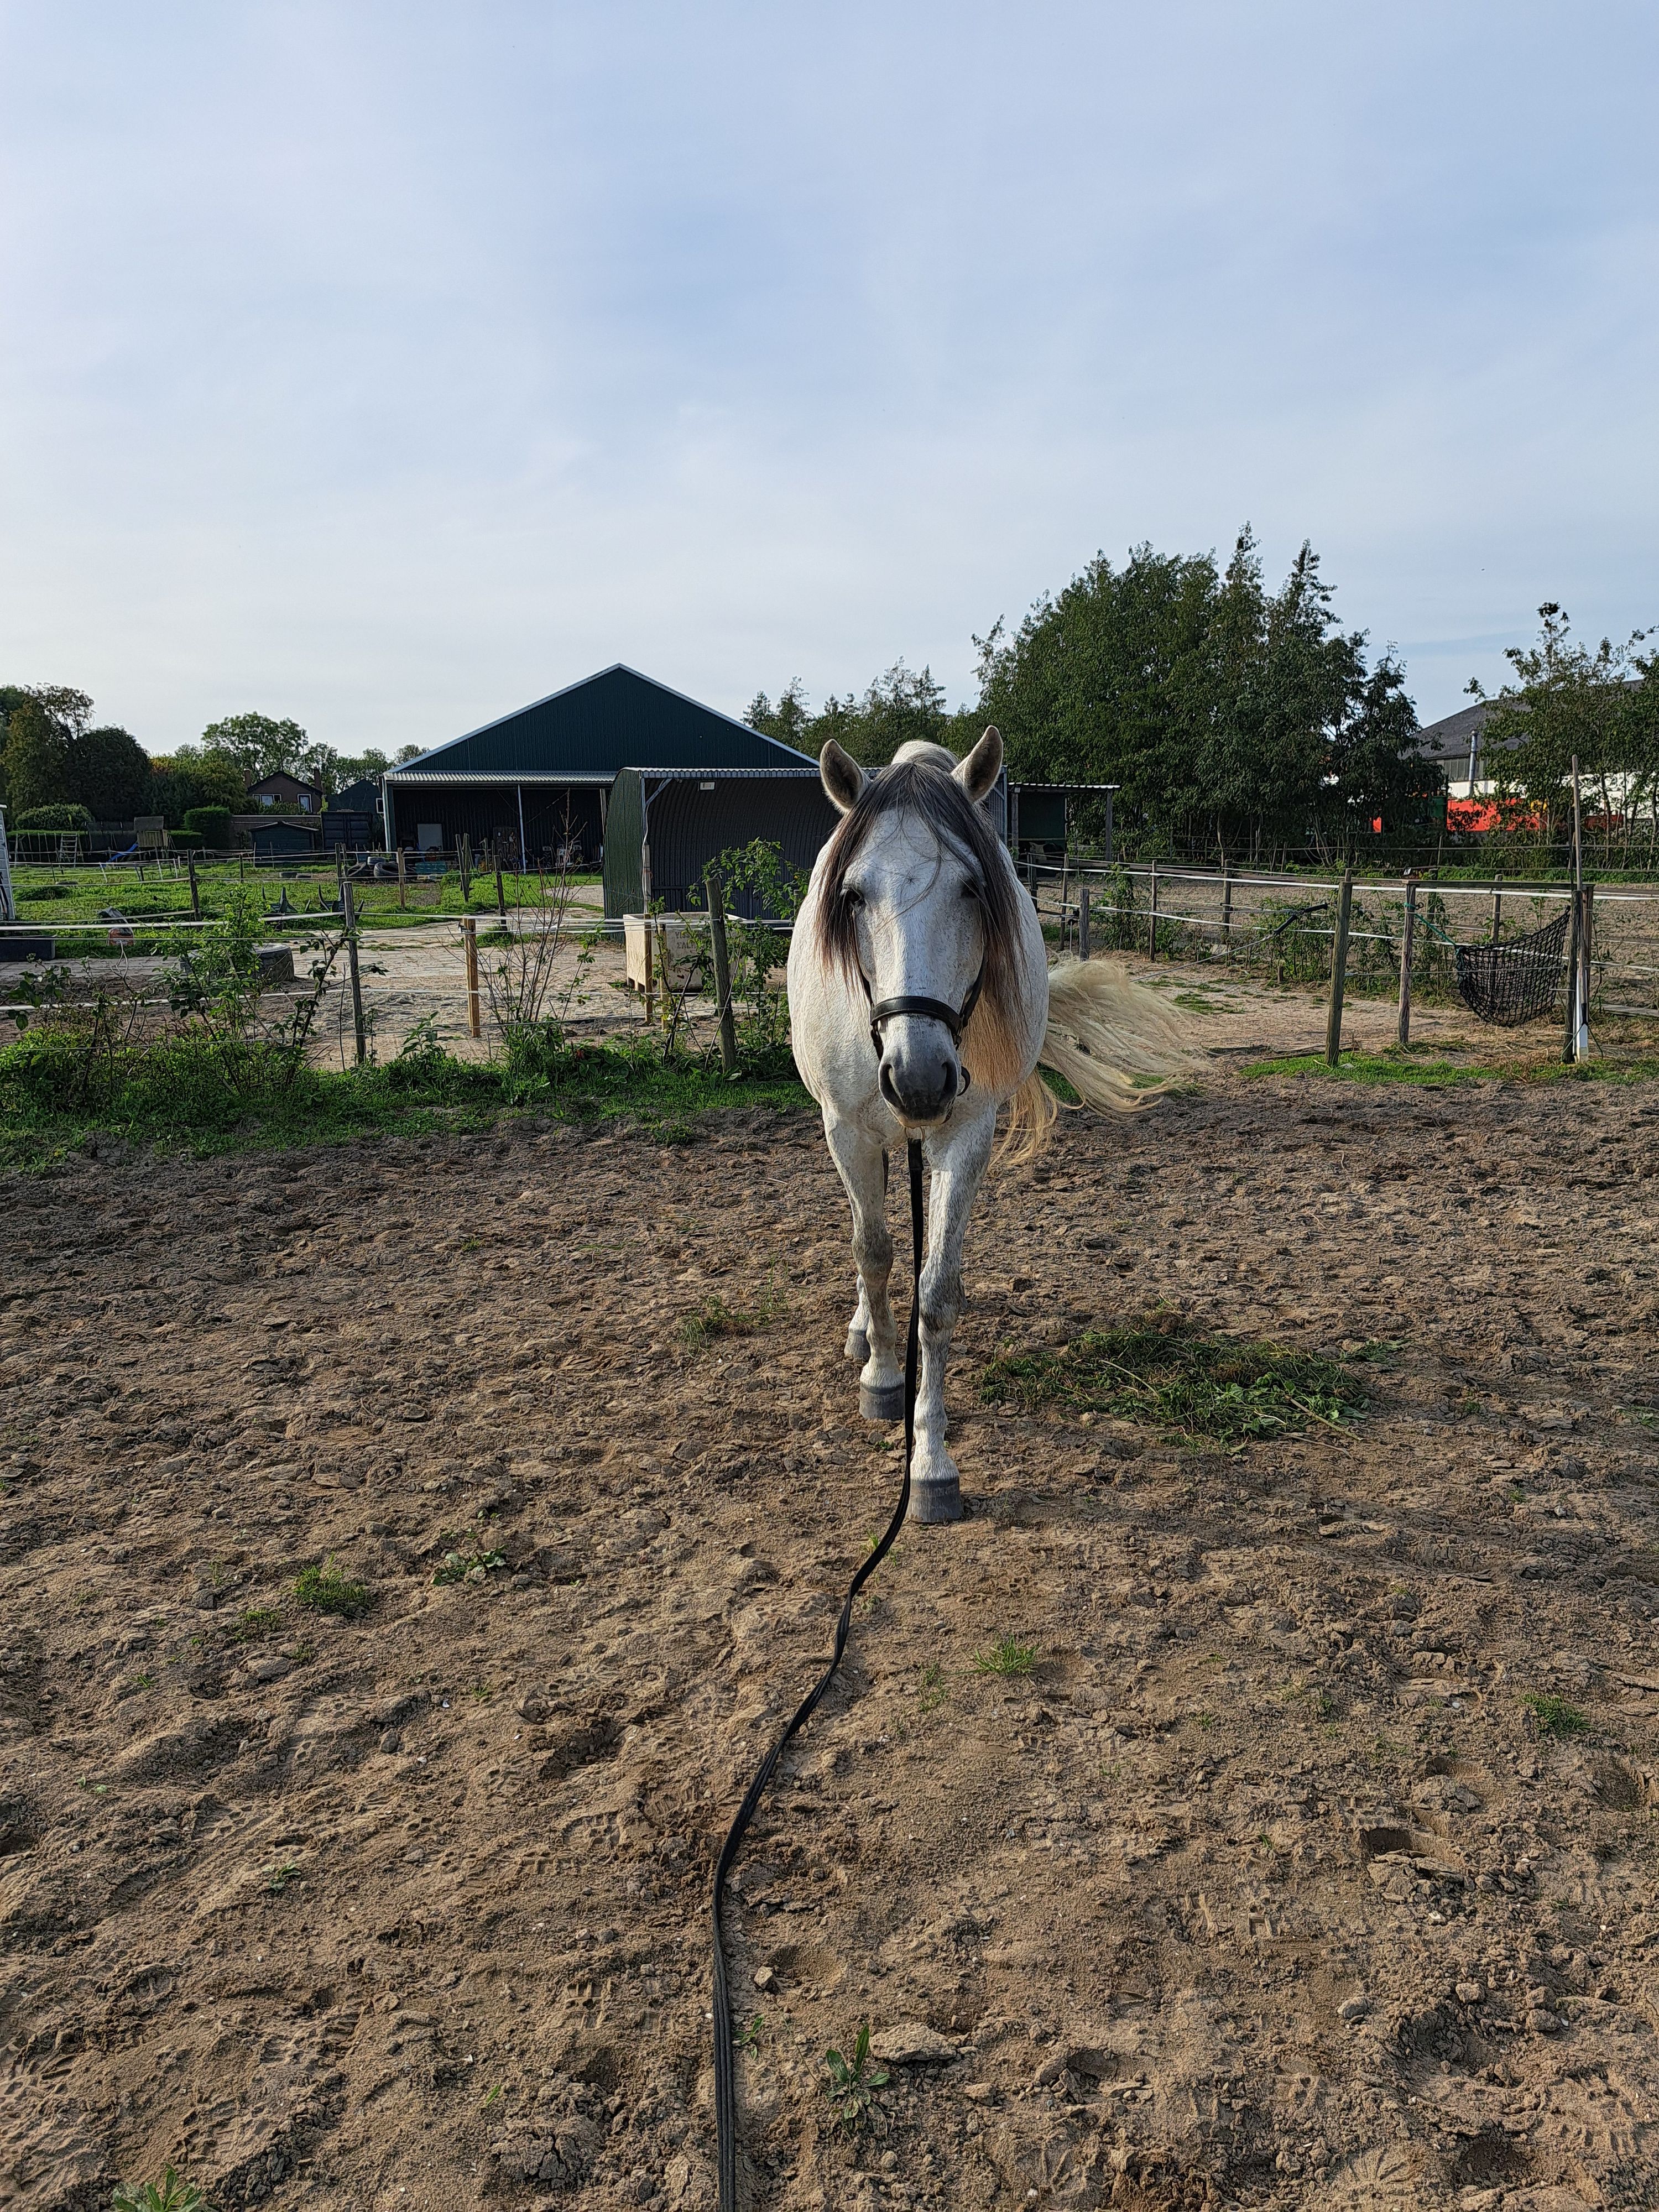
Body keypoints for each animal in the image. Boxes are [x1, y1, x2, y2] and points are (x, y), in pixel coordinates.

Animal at [785, 727, 1193, 1524]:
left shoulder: (964, 1136)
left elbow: (937, 1294)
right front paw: (883, 1379)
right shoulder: (847, 1130)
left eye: (972, 888)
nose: (918, 1077)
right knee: (867, 1237)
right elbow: (873, 1253)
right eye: (852, 895)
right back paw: (864, 1335)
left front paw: (931, 1465)